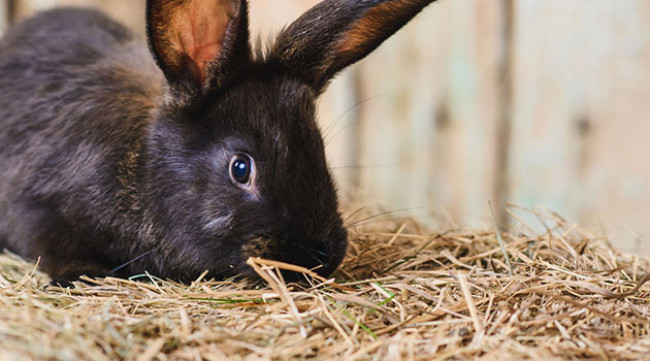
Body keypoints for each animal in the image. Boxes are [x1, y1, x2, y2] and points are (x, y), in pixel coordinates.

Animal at [0, 0, 438, 282]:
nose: (318, 258)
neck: (140, 168)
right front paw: (82, 276)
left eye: (319, 152)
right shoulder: (36, 202)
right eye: (241, 168)